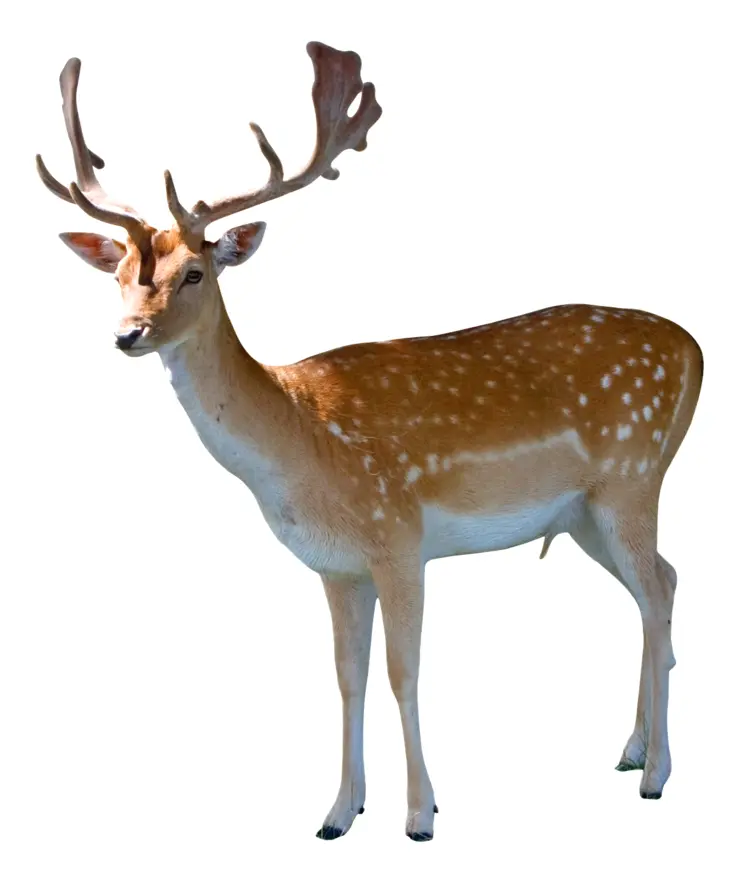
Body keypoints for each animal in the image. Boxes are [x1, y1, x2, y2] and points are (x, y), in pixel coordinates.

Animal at [37, 42, 703, 842]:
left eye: (194, 272)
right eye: (119, 276)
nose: (127, 334)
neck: (300, 442)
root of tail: (695, 349)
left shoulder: (400, 538)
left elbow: (401, 672)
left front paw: (420, 814)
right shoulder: (337, 564)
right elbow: (346, 676)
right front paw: (338, 812)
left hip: (633, 477)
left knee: (658, 589)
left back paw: (659, 774)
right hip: (583, 515)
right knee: (662, 581)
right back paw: (632, 750)